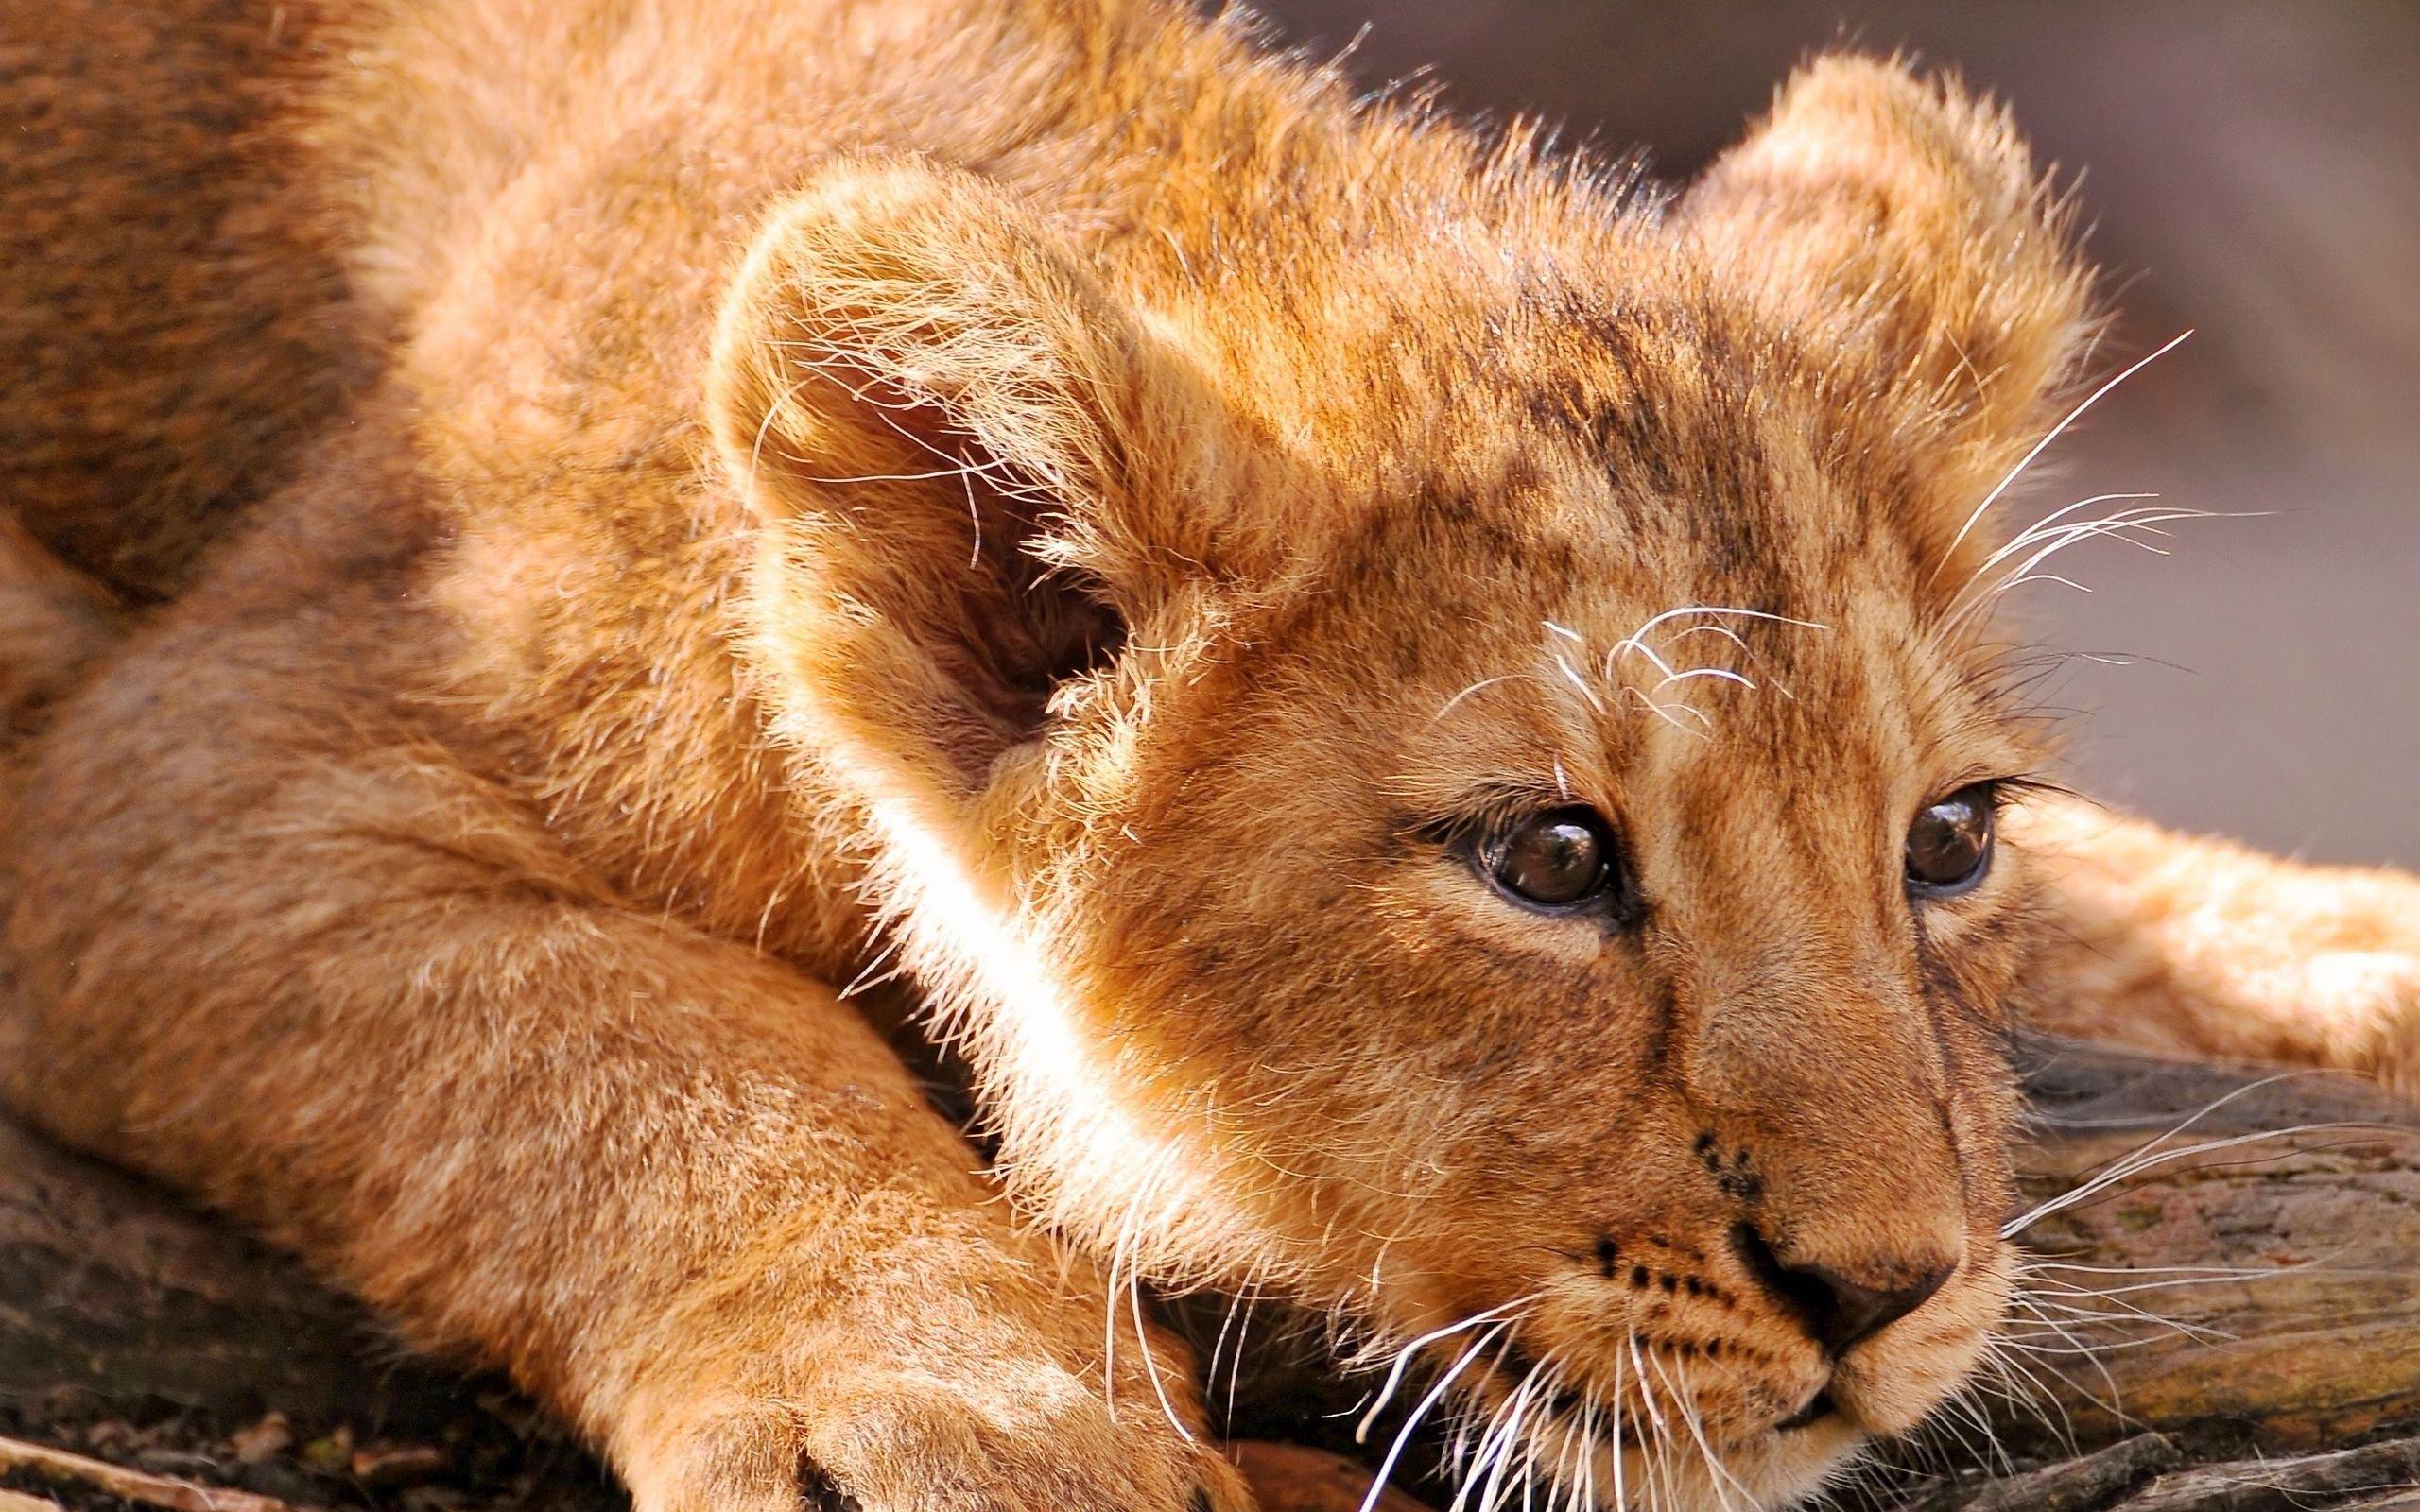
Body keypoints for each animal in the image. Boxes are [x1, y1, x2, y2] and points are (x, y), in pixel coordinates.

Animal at [3, 1, 2416, 1509]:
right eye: (1548, 858)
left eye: (1943, 840)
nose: (1887, 1291)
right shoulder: (194, 764)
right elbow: (615, 1027)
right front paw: (956, 1404)